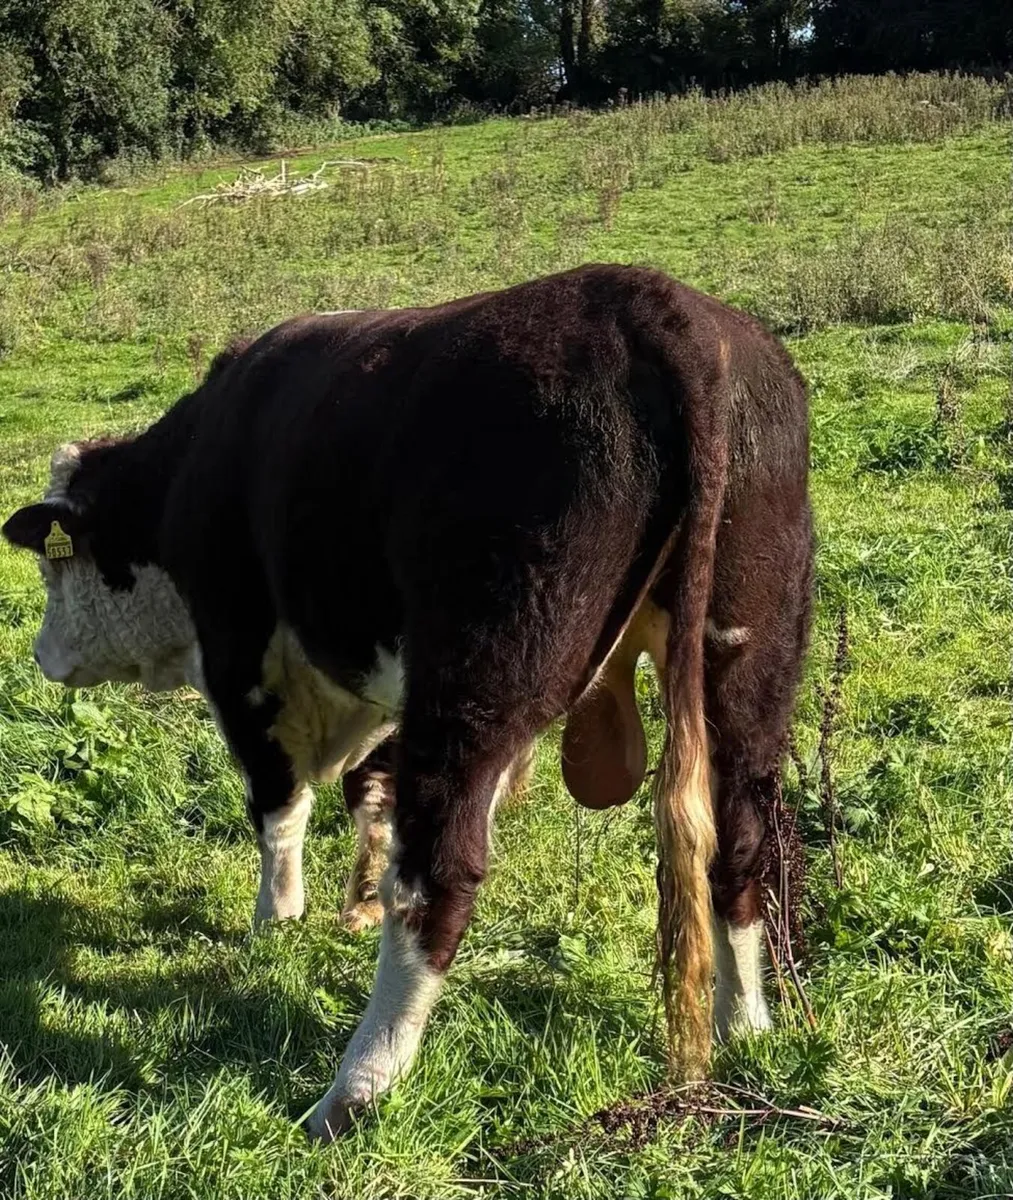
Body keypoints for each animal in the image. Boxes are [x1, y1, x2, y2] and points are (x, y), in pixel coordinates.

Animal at [2, 264, 813, 1141]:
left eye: (54, 564)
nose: (42, 655)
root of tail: (657, 308)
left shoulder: (241, 654)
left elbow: (278, 804)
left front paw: (275, 920)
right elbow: (370, 788)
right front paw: (353, 902)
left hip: (480, 672)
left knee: (438, 875)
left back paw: (356, 1088)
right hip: (745, 653)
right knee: (738, 837)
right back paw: (745, 1022)